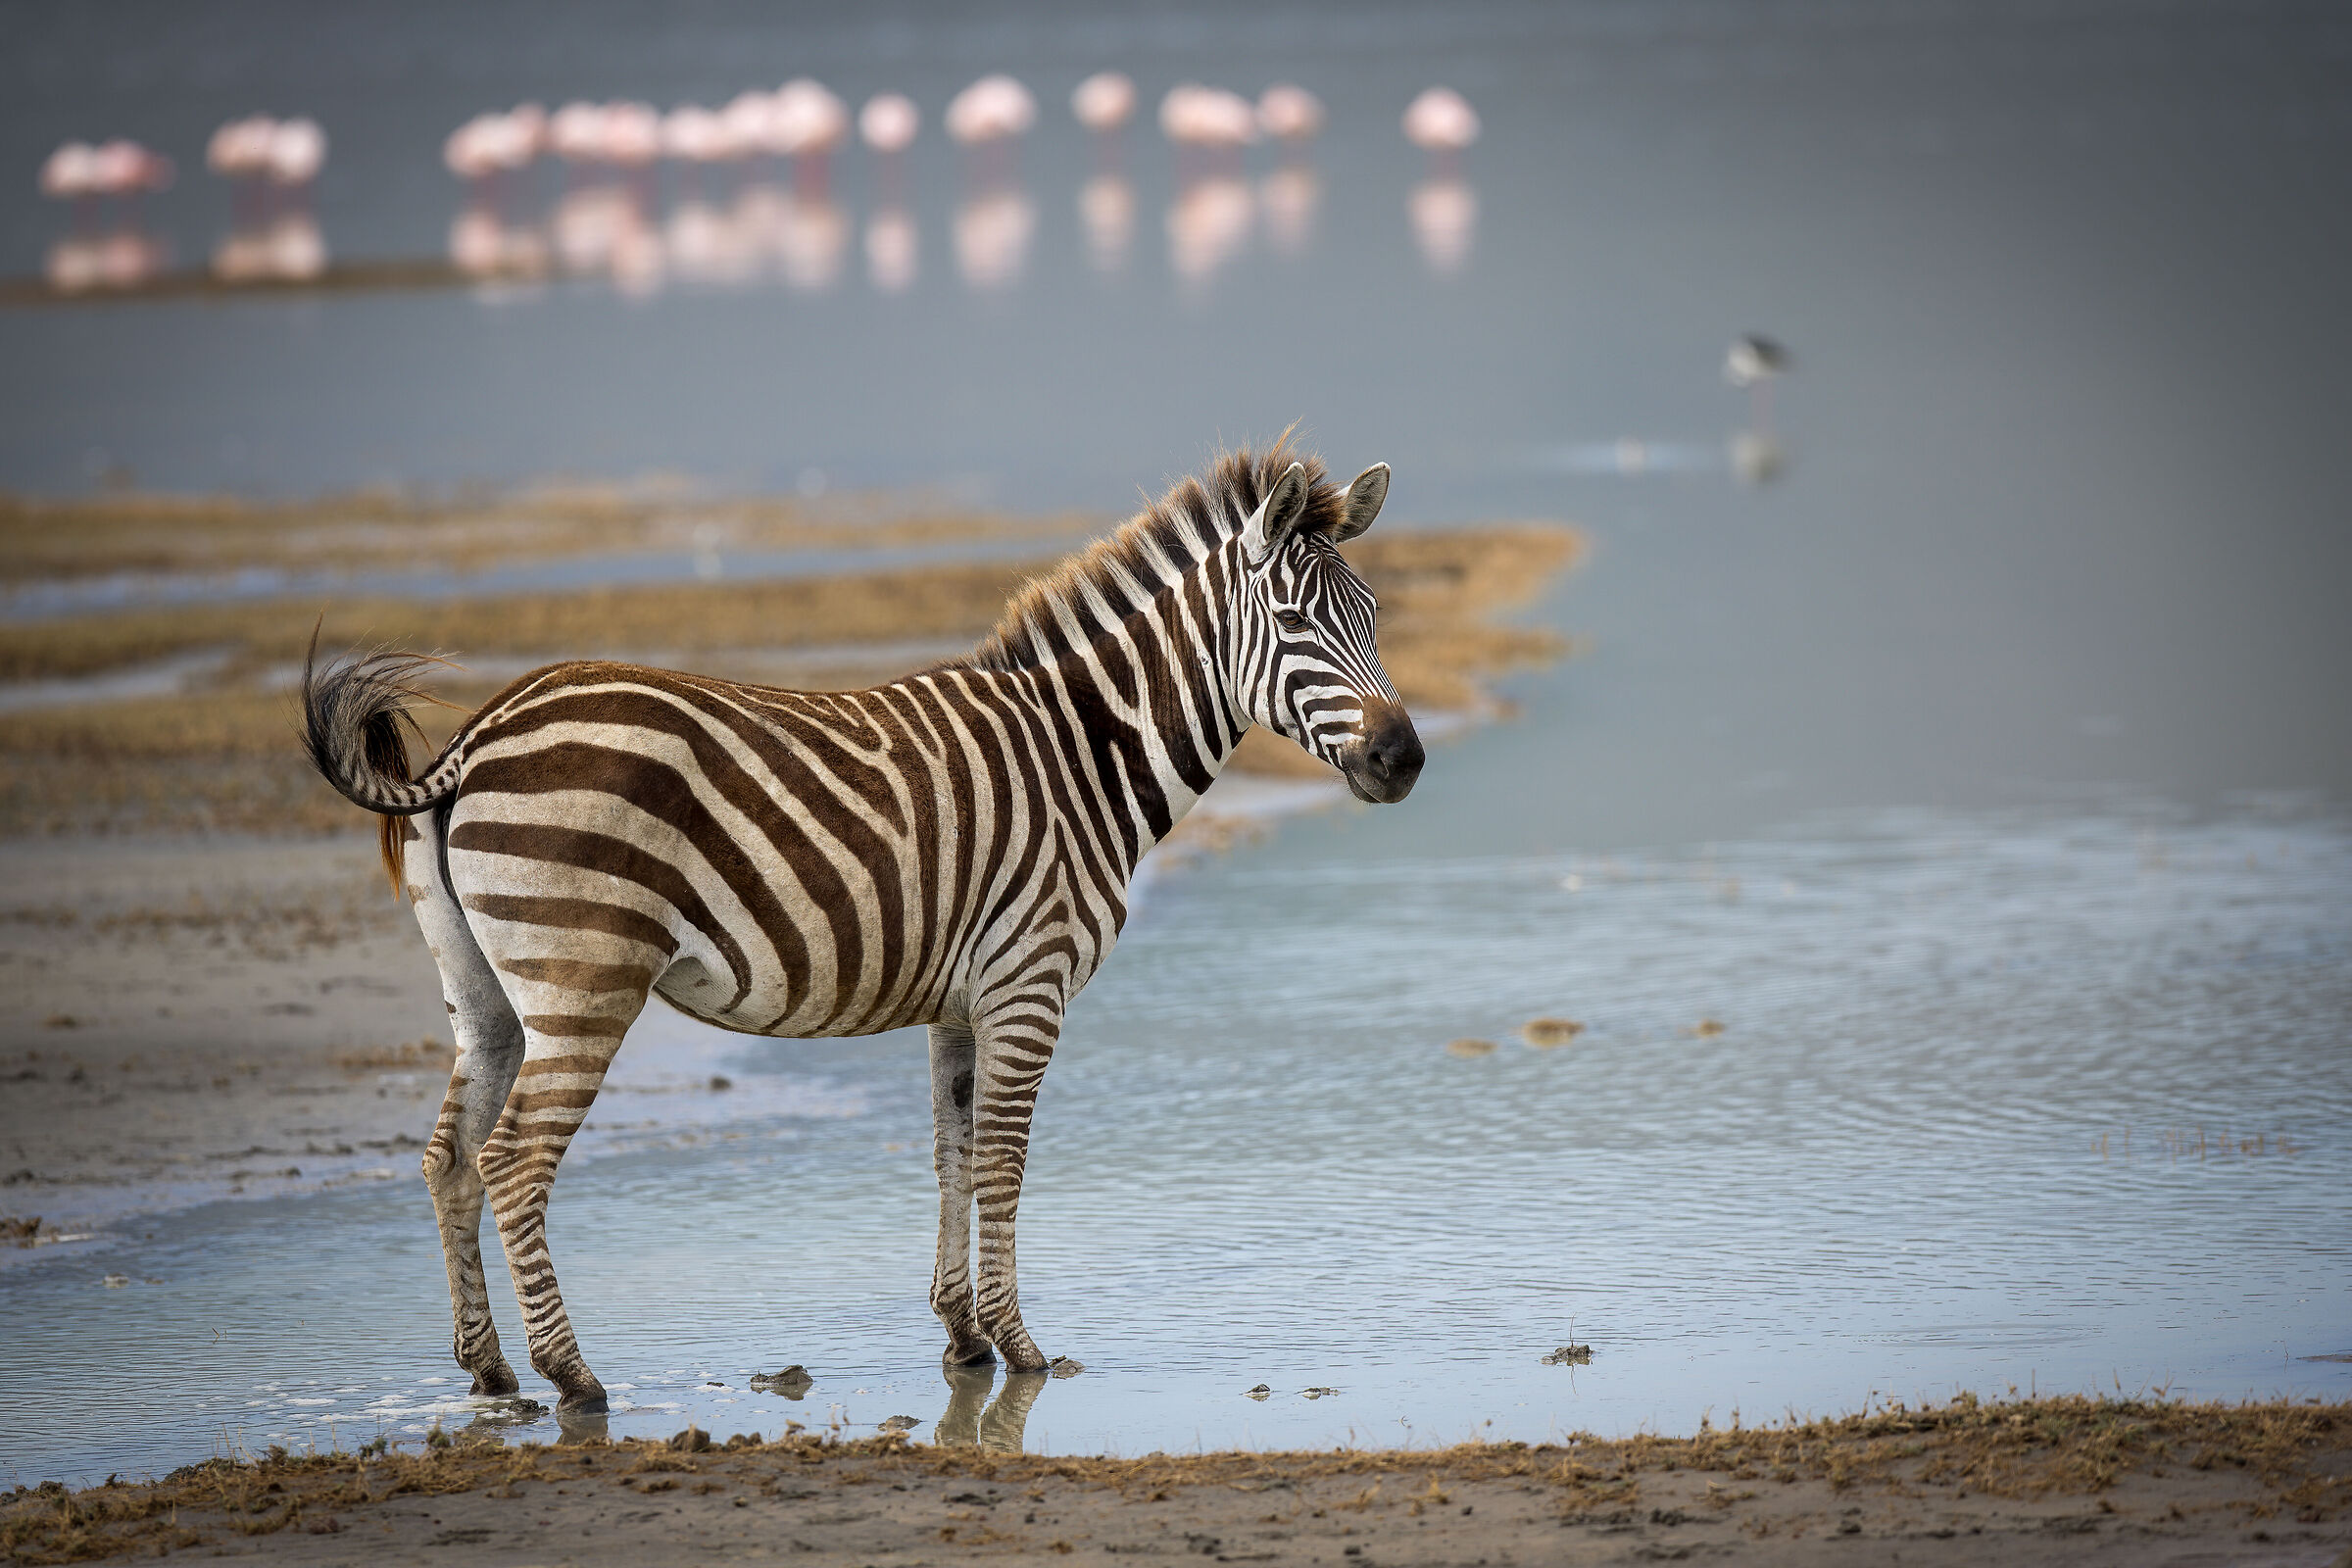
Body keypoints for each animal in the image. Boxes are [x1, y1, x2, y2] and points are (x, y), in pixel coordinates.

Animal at [300, 444, 1423, 1411]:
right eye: (1294, 620)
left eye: (1373, 615)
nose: (1404, 759)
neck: (1082, 756)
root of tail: (477, 735)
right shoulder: (1030, 982)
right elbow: (1004, 1162)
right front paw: (1022, 1347)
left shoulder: (964, 999)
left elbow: (954, 1153)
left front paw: (963, 1338)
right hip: (583, 980)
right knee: (512, 1164)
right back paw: (573, 1376)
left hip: (486, 992)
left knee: (448, 1158)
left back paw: (488, 1371)